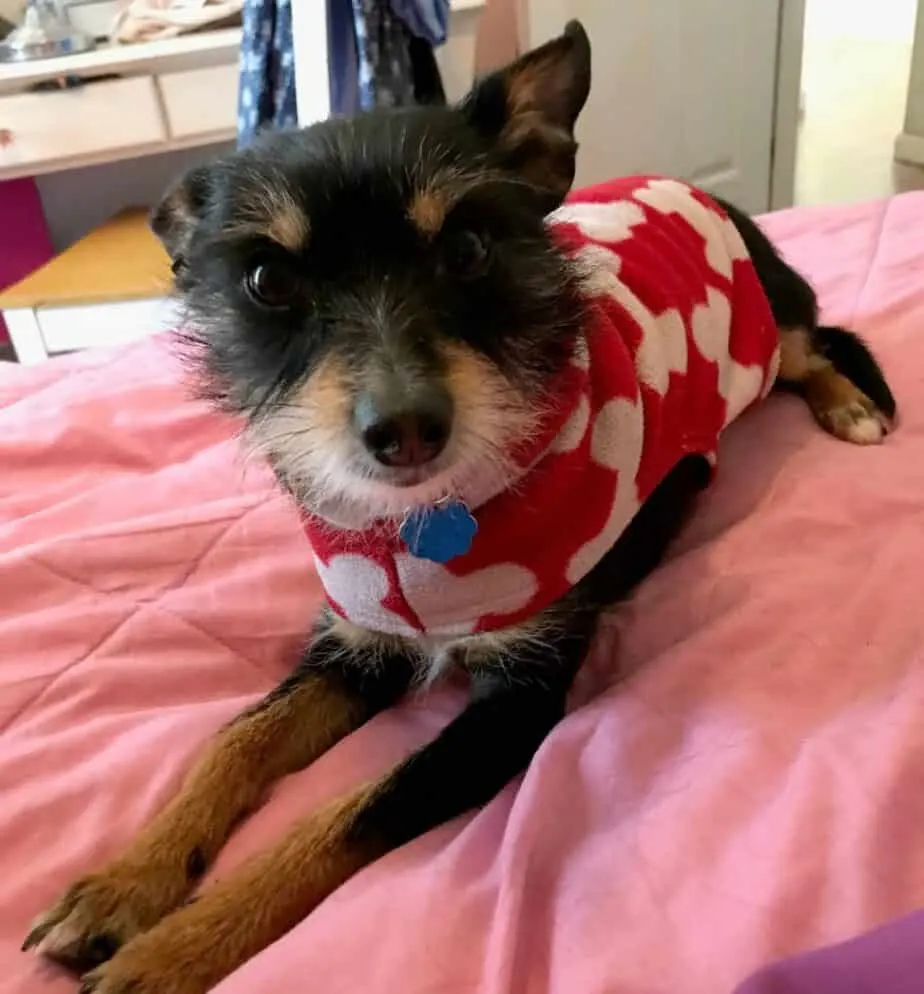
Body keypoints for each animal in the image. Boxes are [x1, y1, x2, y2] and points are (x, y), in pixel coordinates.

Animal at [27, 17, 896, 992]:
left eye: (470, 250)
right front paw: (126, 882)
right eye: (267, 283)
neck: (421, 529)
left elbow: (338, 819)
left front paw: (173, 949)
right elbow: (234, 741)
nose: (405, 428)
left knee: (822, 340)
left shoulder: (516, 705)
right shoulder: (357, 645)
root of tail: (701, 191)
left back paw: (851, 406)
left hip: (771, 323)